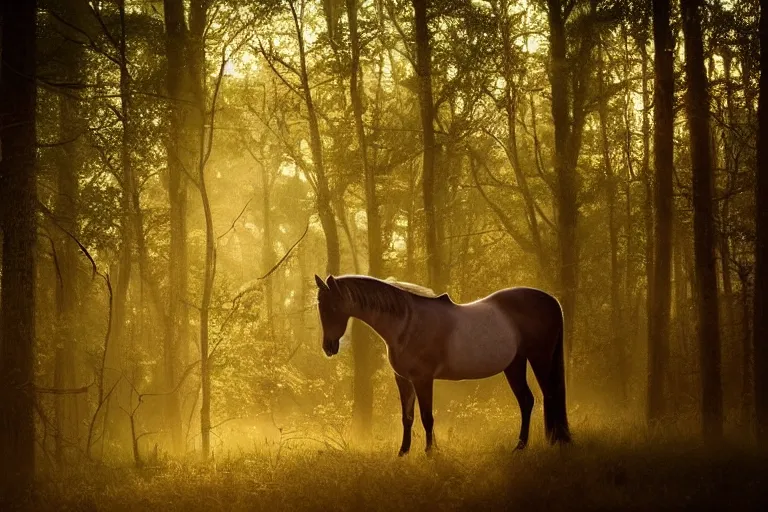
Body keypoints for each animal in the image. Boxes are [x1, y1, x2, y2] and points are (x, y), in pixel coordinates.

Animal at [312, 276, 568, 456]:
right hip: (515, 364)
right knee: (527, 401)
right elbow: (407, 417)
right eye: (319, 307)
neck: (407, 324)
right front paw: (403, 452)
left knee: (550, 396)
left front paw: (430, 452)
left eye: (332, 307)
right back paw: (521, 446)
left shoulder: (423, 379)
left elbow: (427, 417)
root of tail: (552, 301)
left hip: (540, 358)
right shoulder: (403, 379)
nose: (329, 347)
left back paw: (554, 442)